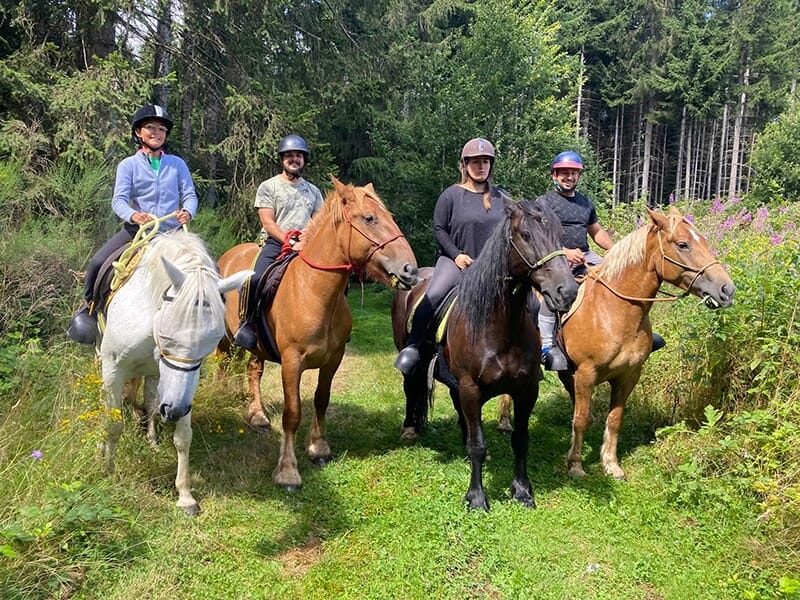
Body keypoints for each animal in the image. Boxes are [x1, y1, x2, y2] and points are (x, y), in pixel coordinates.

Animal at [99, 230, 252, 516]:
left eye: (207, 347)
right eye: (168, 337)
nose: (174, 410)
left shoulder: (183, 387)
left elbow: (183, 437)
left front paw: (185, 495)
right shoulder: (113, 369)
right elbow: (112, 424)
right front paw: (106, 469)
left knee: (150, 402)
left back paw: (152, 439)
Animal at [219, 176, 418, 490]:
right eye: (369, 218)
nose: (410, 270)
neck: (314, 290)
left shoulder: (333, 358)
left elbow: (321, 400)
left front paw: (319, 448)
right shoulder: (291, 362)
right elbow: (292, 413)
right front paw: (287, 472)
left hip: (256, 346)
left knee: (253, 370)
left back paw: (258, 415)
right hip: (225, 338)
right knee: (222, 363)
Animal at [392, 199, 576, 508]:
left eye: (560, 234)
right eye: (525, 235)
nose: (568, 291)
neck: (500, 328)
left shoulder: (526, 389)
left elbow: (520, 440)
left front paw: (522, 490)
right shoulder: (471, 387)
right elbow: (478, 444)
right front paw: (477, 497)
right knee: (411, 389)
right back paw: (409, 429)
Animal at [500, 206, 736, 478]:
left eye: (703, 241)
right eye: (683, 244)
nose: (727, 290)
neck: (614, 311)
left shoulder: (628, 375)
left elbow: (614, 419)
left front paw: (611, 464)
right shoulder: (587, 373)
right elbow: (581, 420)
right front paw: (575, 465)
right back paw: (504, 422)